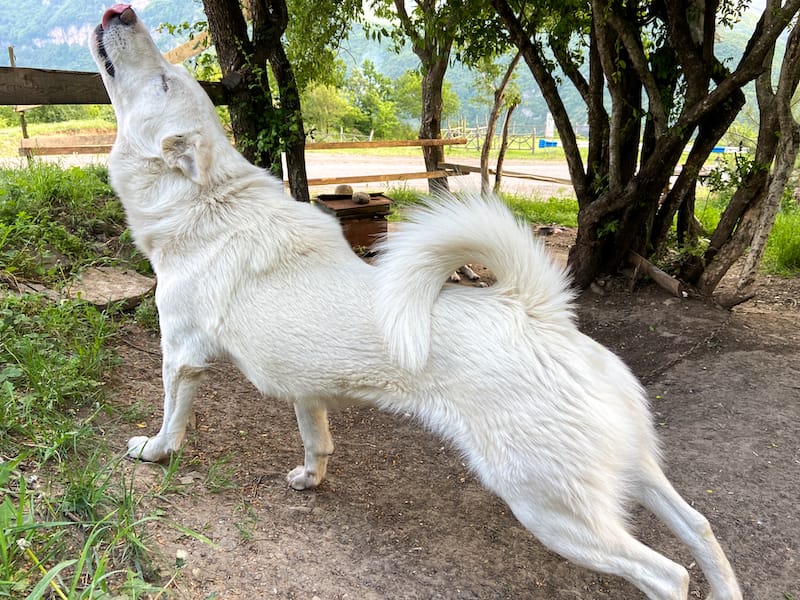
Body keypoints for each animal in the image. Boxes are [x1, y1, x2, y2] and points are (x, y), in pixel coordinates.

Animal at [94, 5, 744, 600]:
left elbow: (172, 422)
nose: (120, 12)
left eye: (164, 82)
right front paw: (310, 479)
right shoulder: (305, 387)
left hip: (551, 509)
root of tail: (538, 313)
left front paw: (153, 452)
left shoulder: (181, 357)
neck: (207, 204)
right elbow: (316, 439)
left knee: (668, 575)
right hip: (632, 473)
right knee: (701, 528)